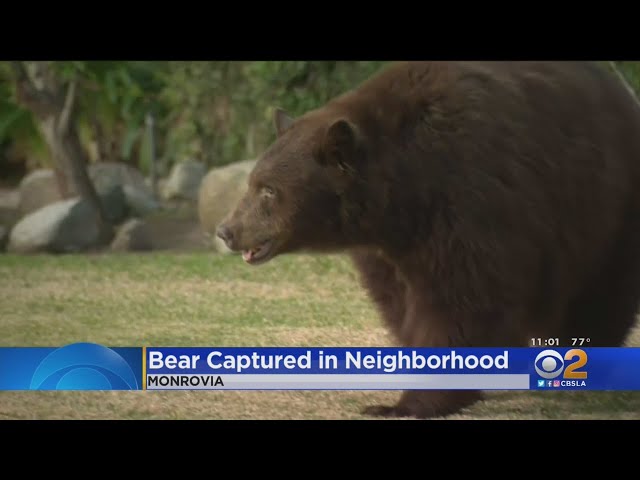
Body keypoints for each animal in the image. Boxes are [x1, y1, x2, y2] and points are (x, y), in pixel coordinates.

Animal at [216, 61, 640, 419]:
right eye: (253, 182)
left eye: (268, 190)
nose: (227, 230)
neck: (404, 190)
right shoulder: (389, 247)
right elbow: (400, 302)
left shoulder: (470, 203)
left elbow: (459, 301)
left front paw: (405, 403)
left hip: (605, 207)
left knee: (599, 295)